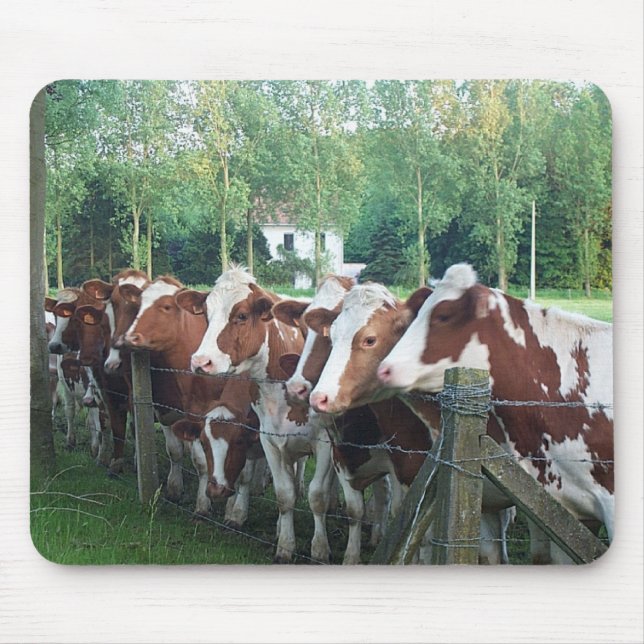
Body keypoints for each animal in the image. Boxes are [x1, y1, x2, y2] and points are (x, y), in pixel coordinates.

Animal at [178, 267, 336, 564]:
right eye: (206, 314)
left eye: (241, 315)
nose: (200, 361)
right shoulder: (267, 438)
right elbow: (282, 493)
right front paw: (283, 543)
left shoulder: (324, 441)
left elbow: (318, 496)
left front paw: (320, 548)